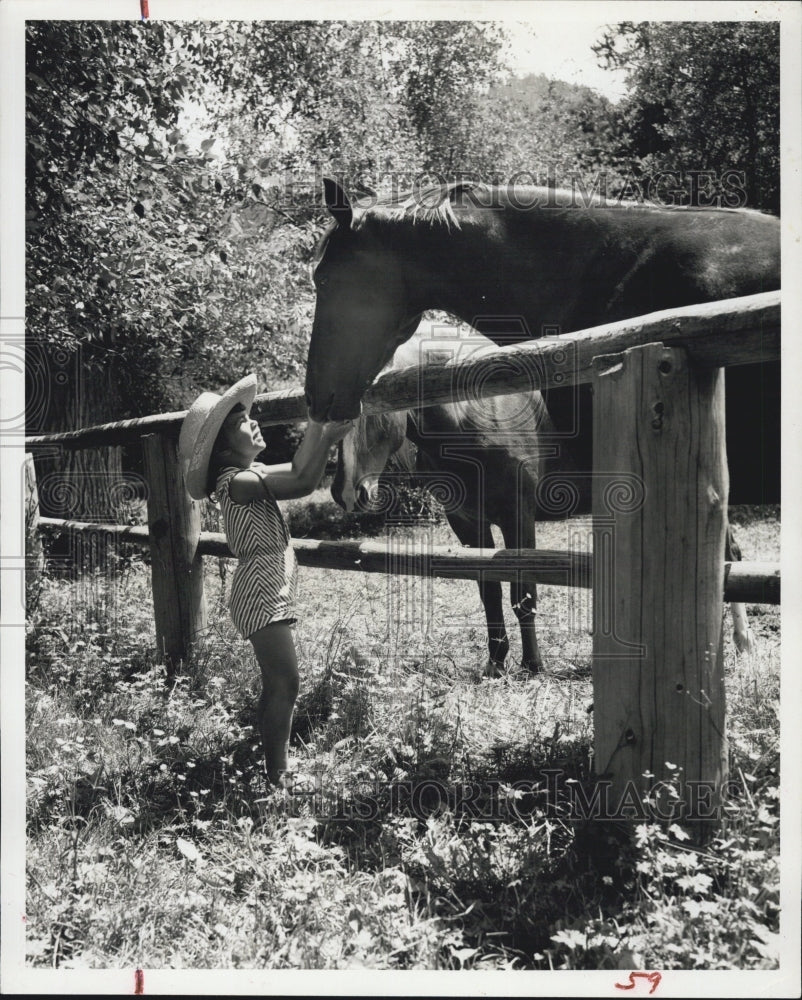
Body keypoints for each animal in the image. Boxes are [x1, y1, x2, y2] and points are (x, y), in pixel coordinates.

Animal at [330, 322, 581, 675]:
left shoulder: (518, 516)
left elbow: (524, 595)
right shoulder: (466, 521)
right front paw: (495, 664)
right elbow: (489, 592)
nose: (345, 493)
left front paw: (532, 666)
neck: (469, 412)